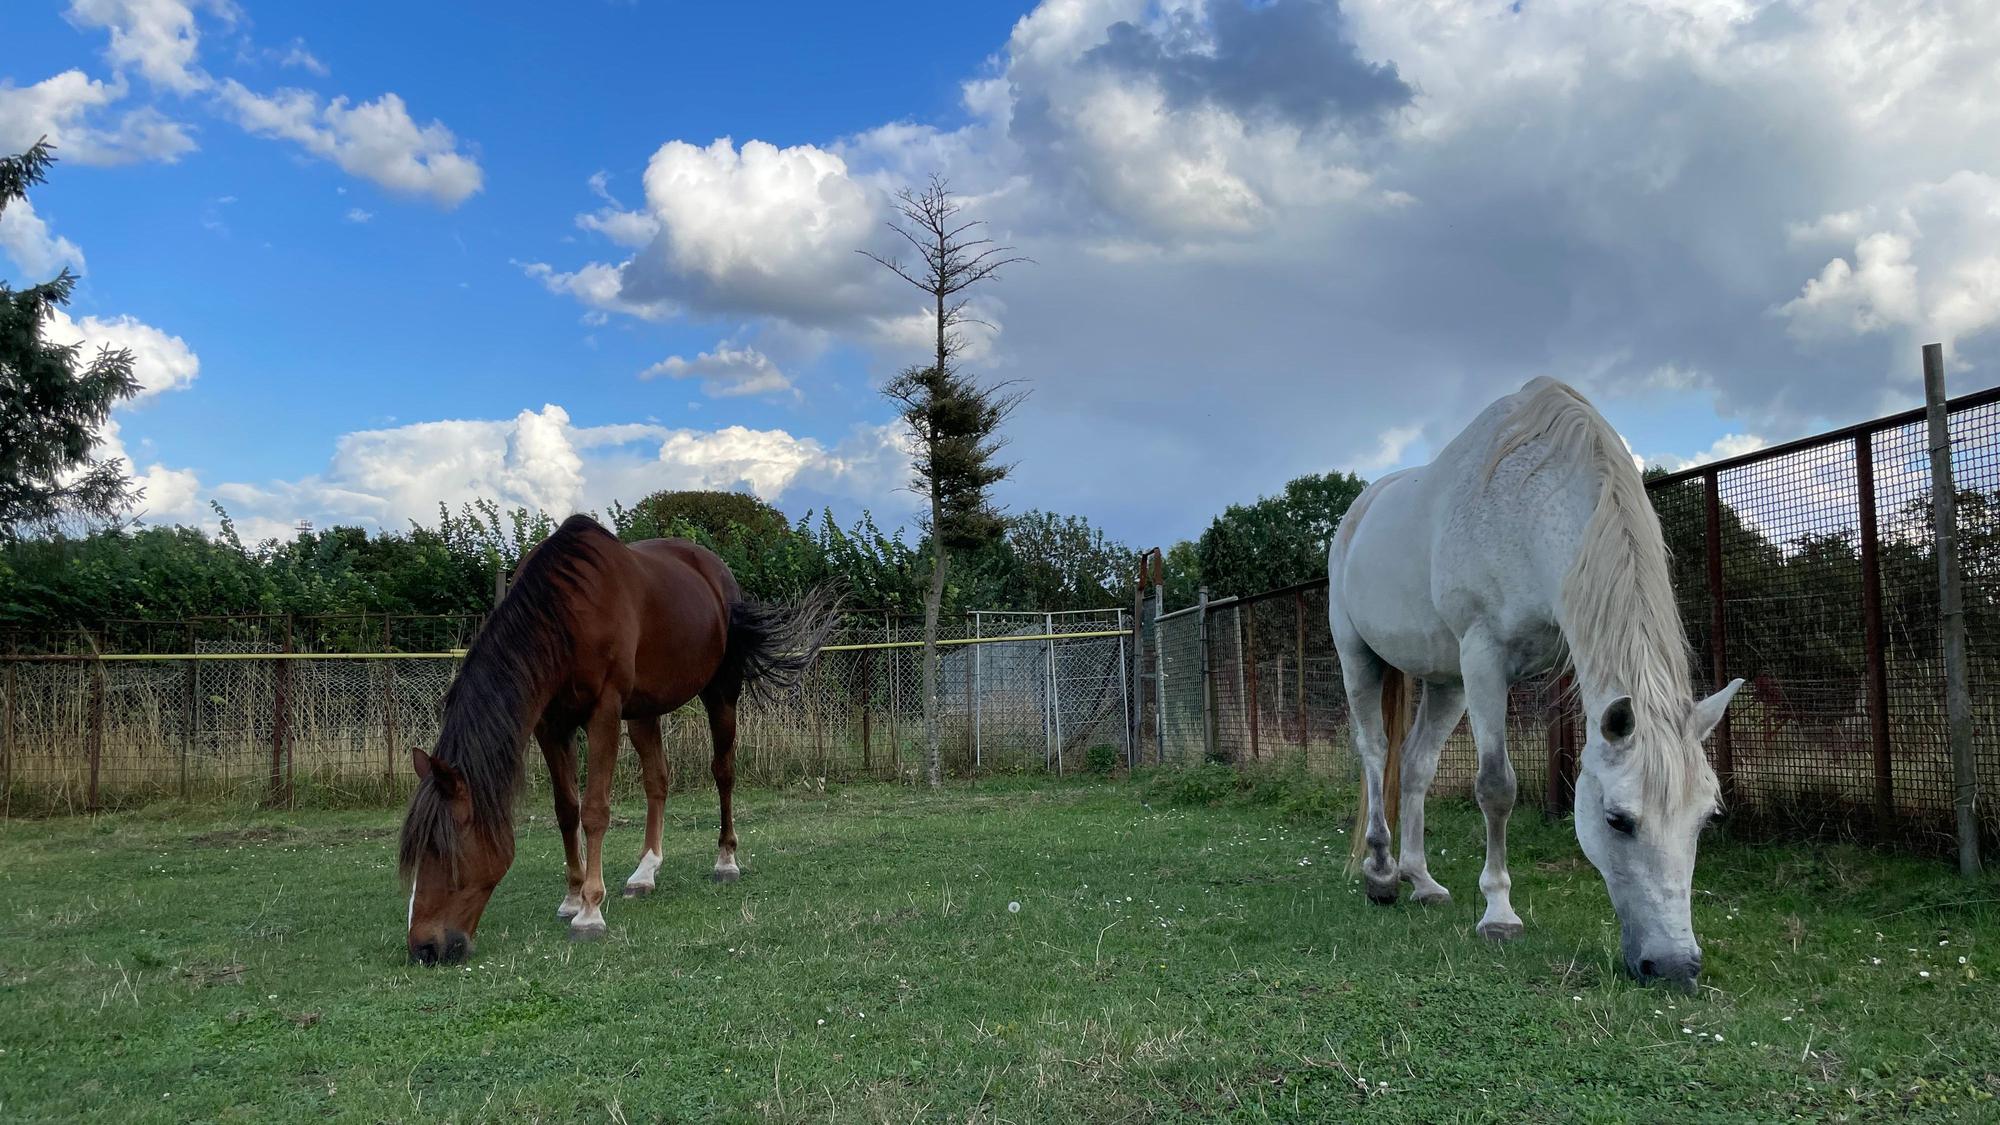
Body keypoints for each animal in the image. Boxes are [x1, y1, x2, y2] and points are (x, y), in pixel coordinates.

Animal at [398, 514, 837, 965]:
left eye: (443, 850)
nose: (423, 947)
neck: (566, 614)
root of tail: (718, 573)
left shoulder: (603, 712)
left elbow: (594, 810)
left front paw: (590, 912)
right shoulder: (551, 725)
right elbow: (566, 810)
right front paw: (572, 898)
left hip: (721, 692)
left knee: (723, 772)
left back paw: (725, 860)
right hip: (644, 710)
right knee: (657, 780)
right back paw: (644, 873)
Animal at [1328, 377, 1741, 989]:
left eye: (1706, 818)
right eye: (1617, 820)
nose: (1673, 967)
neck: (1532, 502)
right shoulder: (1484, 657)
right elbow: (1496, 786)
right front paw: (1499, 912)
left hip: (1445, 680)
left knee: (1417, 763)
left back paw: (1420, 879)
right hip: (1359, 656)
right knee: (1377, 753)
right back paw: (1380, 873)